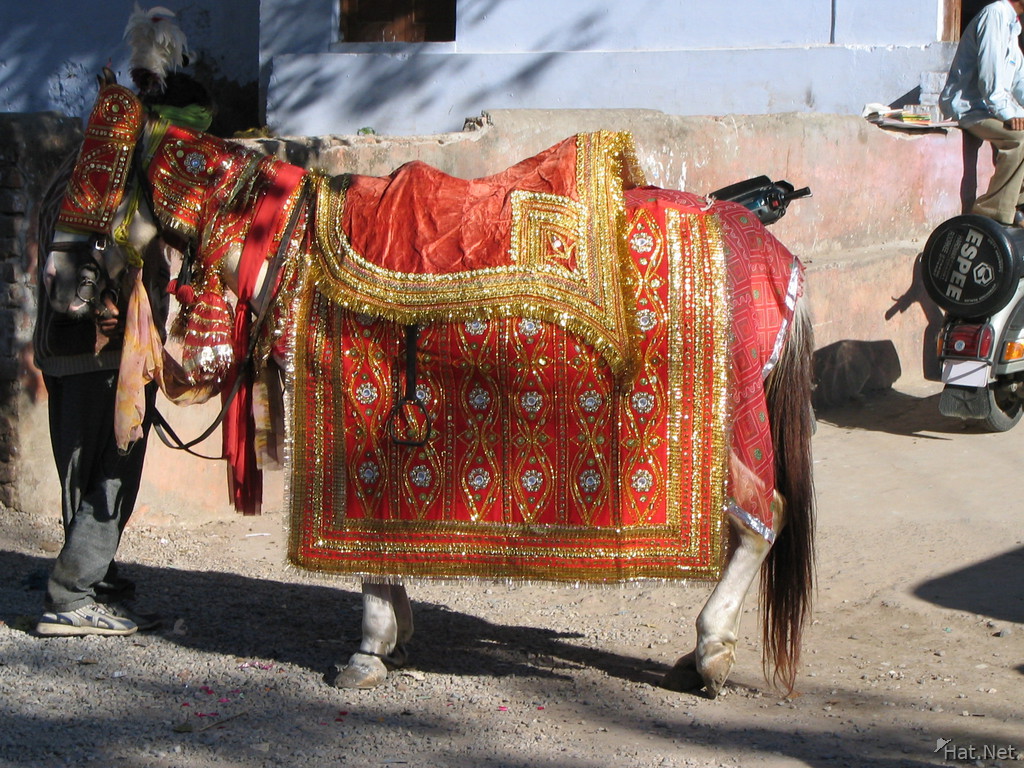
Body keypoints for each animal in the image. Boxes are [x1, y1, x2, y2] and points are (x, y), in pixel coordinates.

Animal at [41, 69, 815, 700]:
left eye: (95, 173)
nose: (57, 281)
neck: (287, 241)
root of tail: (772, 252)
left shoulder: (352, 416)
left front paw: (369, 648)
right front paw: (393, 636)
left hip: (734, 425)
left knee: (763, 517)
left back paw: (710, 653)